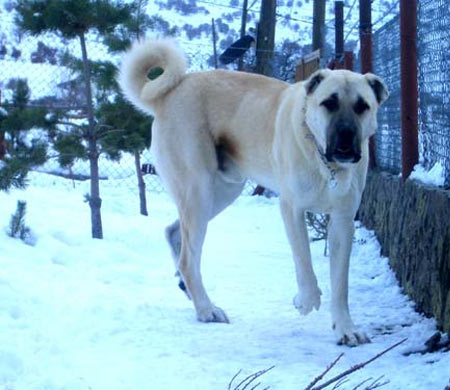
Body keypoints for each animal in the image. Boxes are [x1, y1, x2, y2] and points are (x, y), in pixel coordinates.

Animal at [120, 38, 390, 346]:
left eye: (362, 106)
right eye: (329, 103)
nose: (346, 136)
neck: (326, 163)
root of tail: (168, 93)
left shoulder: (343, 221)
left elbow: (341, 285)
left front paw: (345, 328)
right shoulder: (292, 209)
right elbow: (305, 264)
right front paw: (305, 301)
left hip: (223, 192)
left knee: (174, 233)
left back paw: (186, 287)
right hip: (199, 191)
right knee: (189, 258)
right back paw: (206, 309)